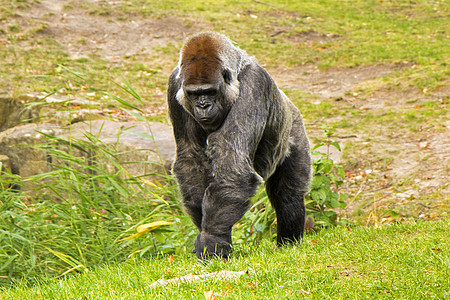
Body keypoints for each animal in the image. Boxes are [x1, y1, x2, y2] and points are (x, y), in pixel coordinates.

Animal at [167, 31, 312, 258]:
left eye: (210, 92)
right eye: (194, 94)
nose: (203, 106)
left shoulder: (255, 83)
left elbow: (232, 163)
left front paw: (212, 239)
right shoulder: (176, 86)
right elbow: (191, 158)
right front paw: (206, 231)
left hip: (295, 131)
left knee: (288, 196)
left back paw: (289, 243)